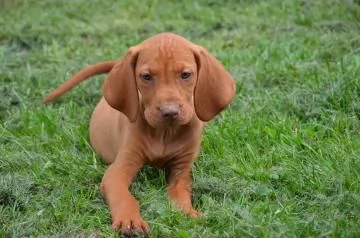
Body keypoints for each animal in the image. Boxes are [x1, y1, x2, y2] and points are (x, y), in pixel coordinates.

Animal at [43, 32, 236, 235]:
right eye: (146, 77)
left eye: (185, 75)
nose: (169, 112)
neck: (164, 134)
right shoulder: (118, 170)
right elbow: (124, 196)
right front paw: (129, 219)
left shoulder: (182, 169)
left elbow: (180, 192)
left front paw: (187, 212)